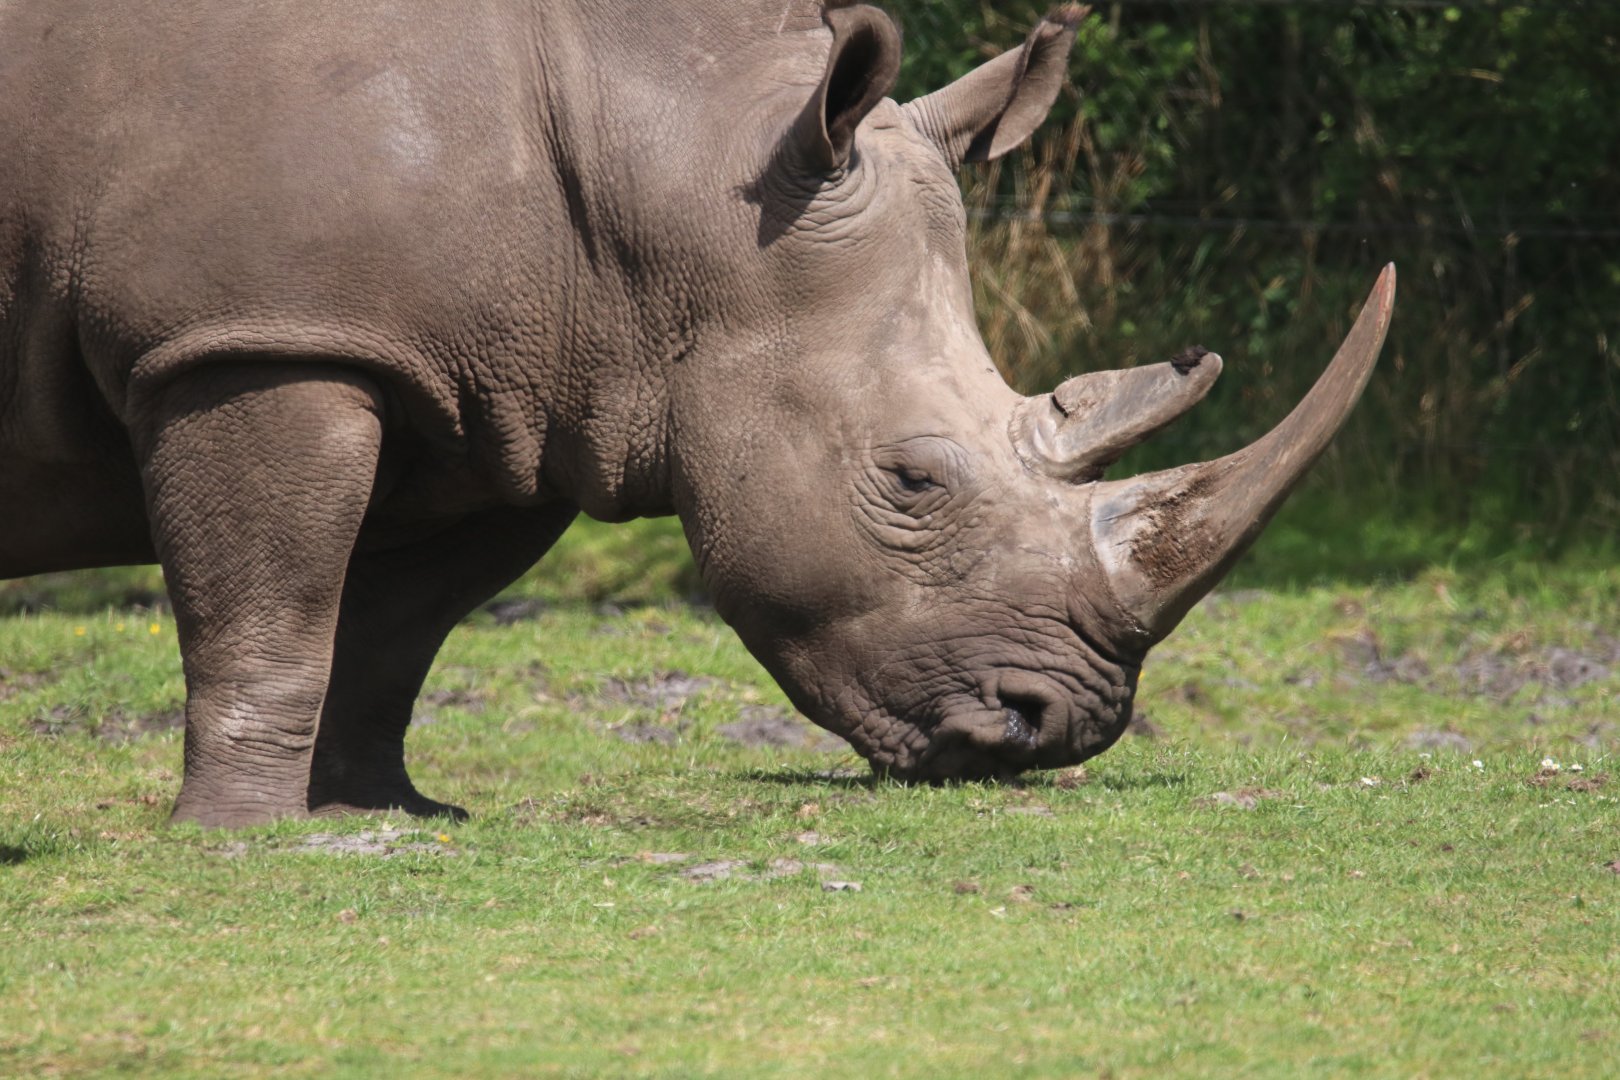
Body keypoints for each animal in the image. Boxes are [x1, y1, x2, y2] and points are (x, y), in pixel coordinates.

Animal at [0, 1, 1393, 826]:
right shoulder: (252, 338)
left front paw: (383, 814)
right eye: (912, 482)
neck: (681, 185)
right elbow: (268, 603)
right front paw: (241, 838)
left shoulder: (513, 389)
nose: (1058, 730)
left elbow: (399, 623)